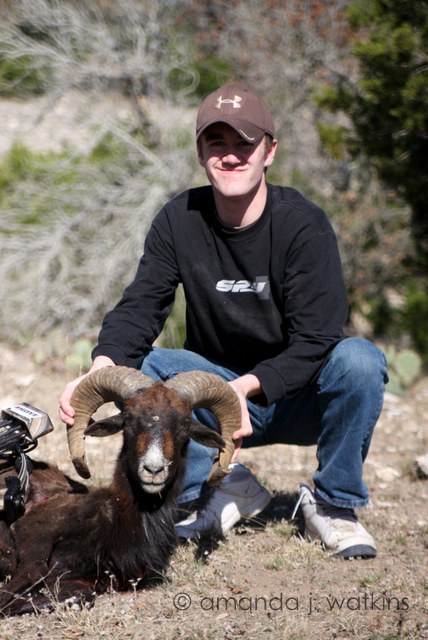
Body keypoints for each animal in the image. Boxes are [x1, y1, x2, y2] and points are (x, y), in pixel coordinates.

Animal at [0, 367, 240, 616]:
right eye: (128, 420)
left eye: (185, 425)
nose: (153, 470)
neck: (118, 519)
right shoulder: (33, 534)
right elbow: (27, 580)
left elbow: (77, 595)